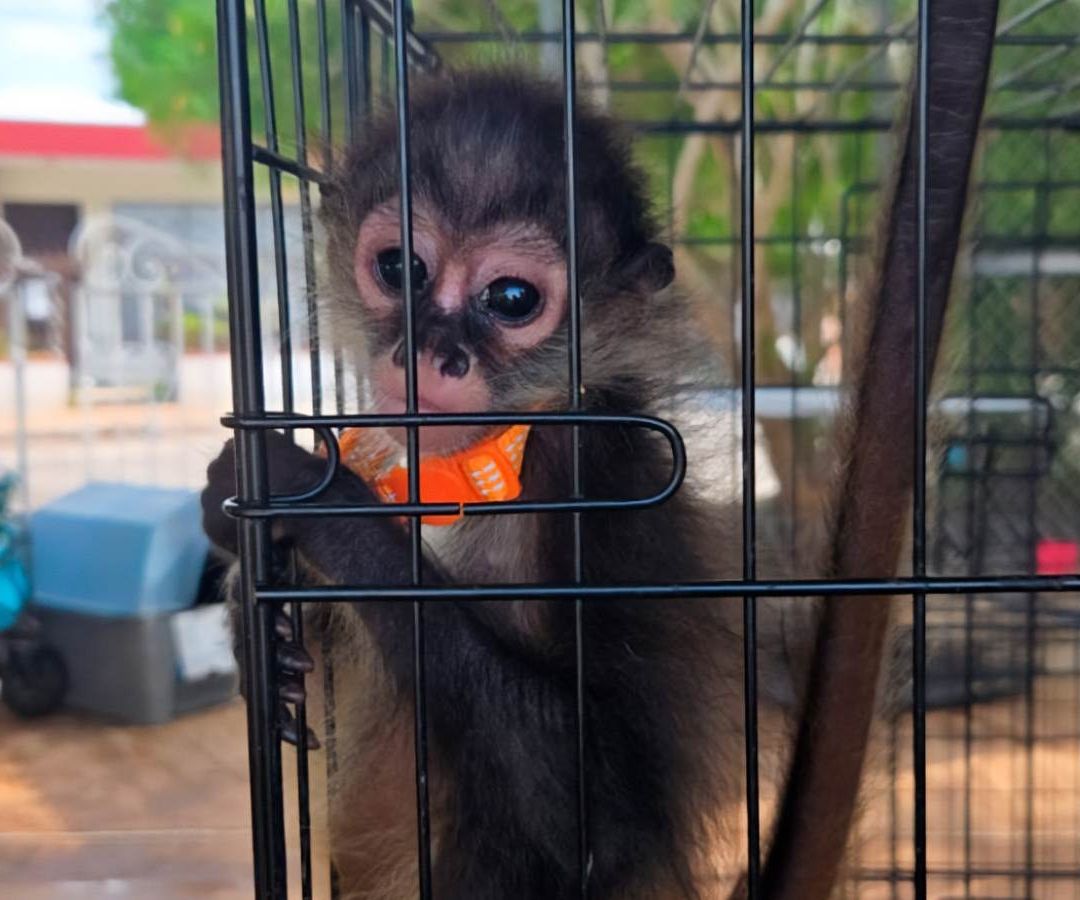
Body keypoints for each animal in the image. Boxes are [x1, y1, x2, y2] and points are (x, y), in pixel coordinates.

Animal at [202, 1, 999, 896]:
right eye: (400, 267)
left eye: (512, 298)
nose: (434, 353)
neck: (468, 464)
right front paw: (258, 614)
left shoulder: (598, 475)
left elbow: (603, 822)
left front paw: (324, 508)